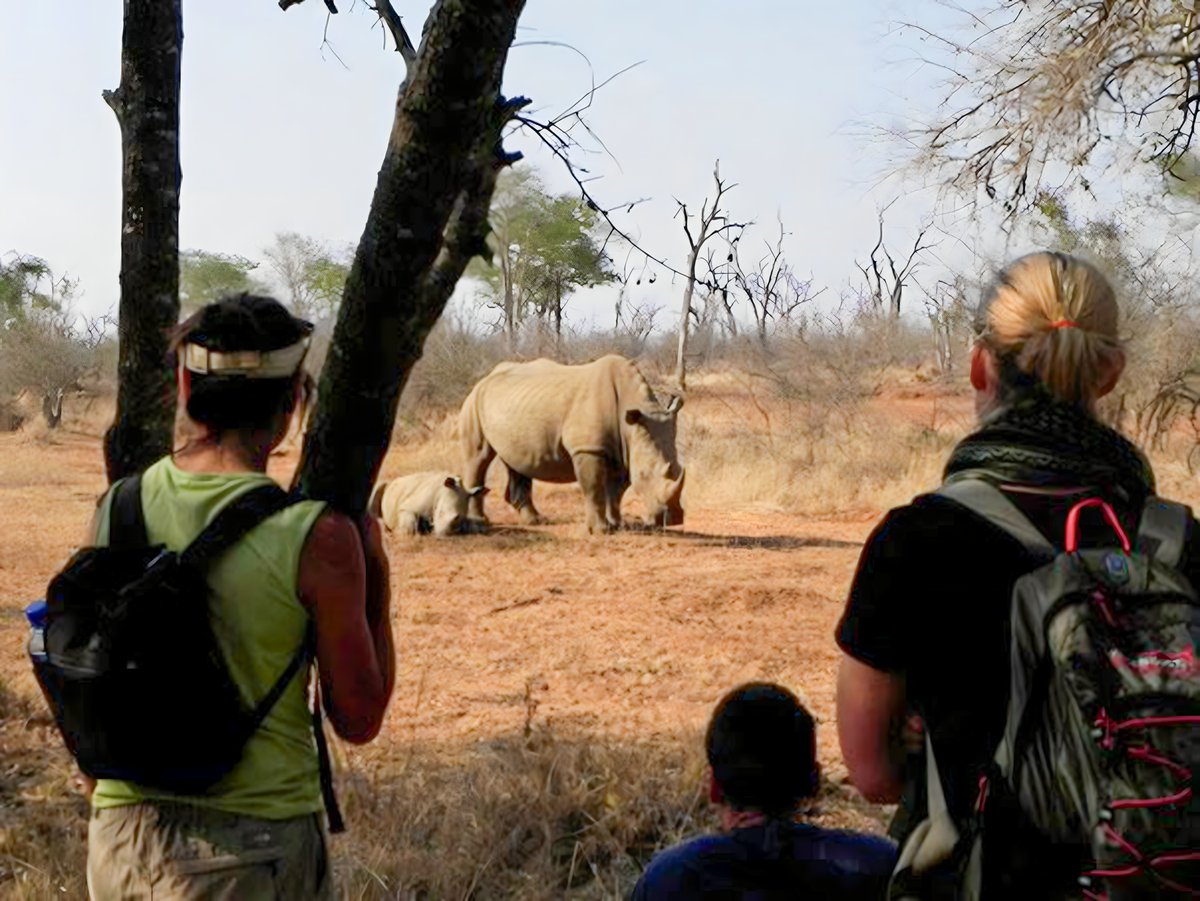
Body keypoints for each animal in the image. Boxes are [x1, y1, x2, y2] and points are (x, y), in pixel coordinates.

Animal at [458, 355, 686, 535]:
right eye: (644, 475)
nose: (674, 520)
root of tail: (486, 377)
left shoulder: (624, 451)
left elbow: (616, 492)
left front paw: (618, 525)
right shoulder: (588, 449)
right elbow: (594, 488)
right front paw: (601, 531)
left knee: (517, 462)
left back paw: (536, 521)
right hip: (474, 401)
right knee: (479, 457)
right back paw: (481, 523)